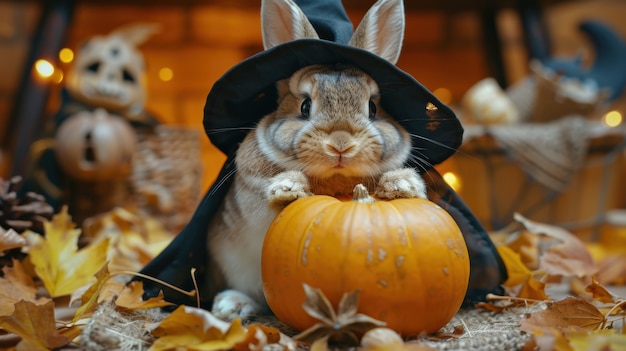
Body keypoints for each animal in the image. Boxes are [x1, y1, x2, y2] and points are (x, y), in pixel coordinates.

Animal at [205, 0, 424, 322]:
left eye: (373, 108)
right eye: (305, 106)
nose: (341, 144)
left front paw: (402, 184)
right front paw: (288, 189)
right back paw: (230, 306)